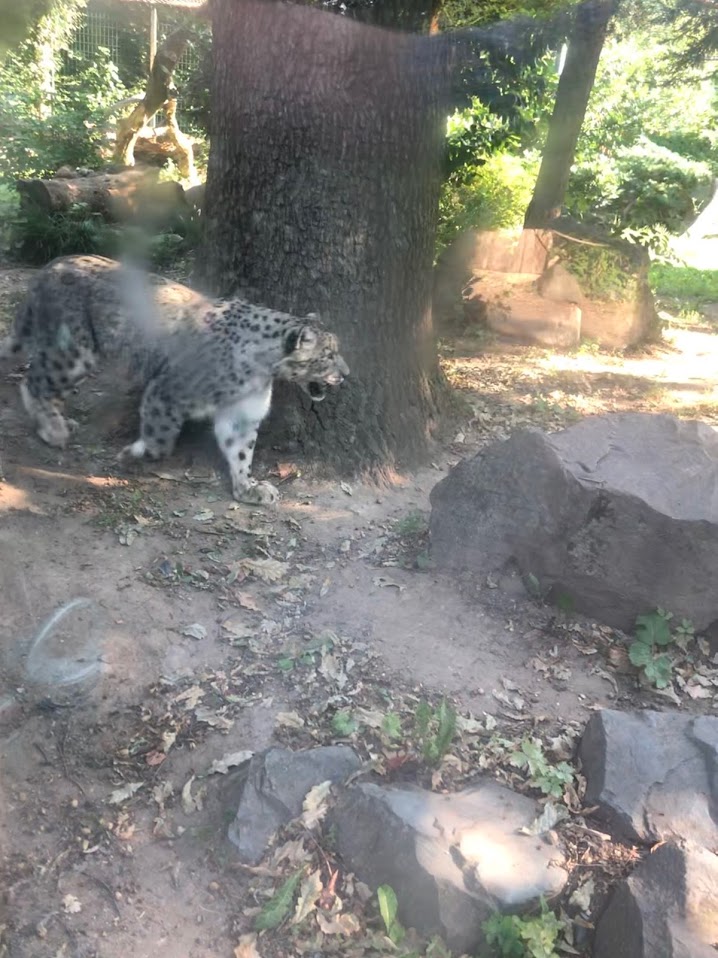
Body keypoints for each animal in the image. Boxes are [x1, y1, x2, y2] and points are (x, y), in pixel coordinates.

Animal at [2, 254, 349, 504]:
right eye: (328, 355)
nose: (346, 374)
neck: (260, 374)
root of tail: (50, 265)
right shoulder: (167, 392)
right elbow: (162, 438)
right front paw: (134, 455)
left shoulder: (242, 412)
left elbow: (240, 450)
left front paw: (248, 488)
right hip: (75, 352)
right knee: (34, 381)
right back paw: (53, 429)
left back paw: (62, 422)